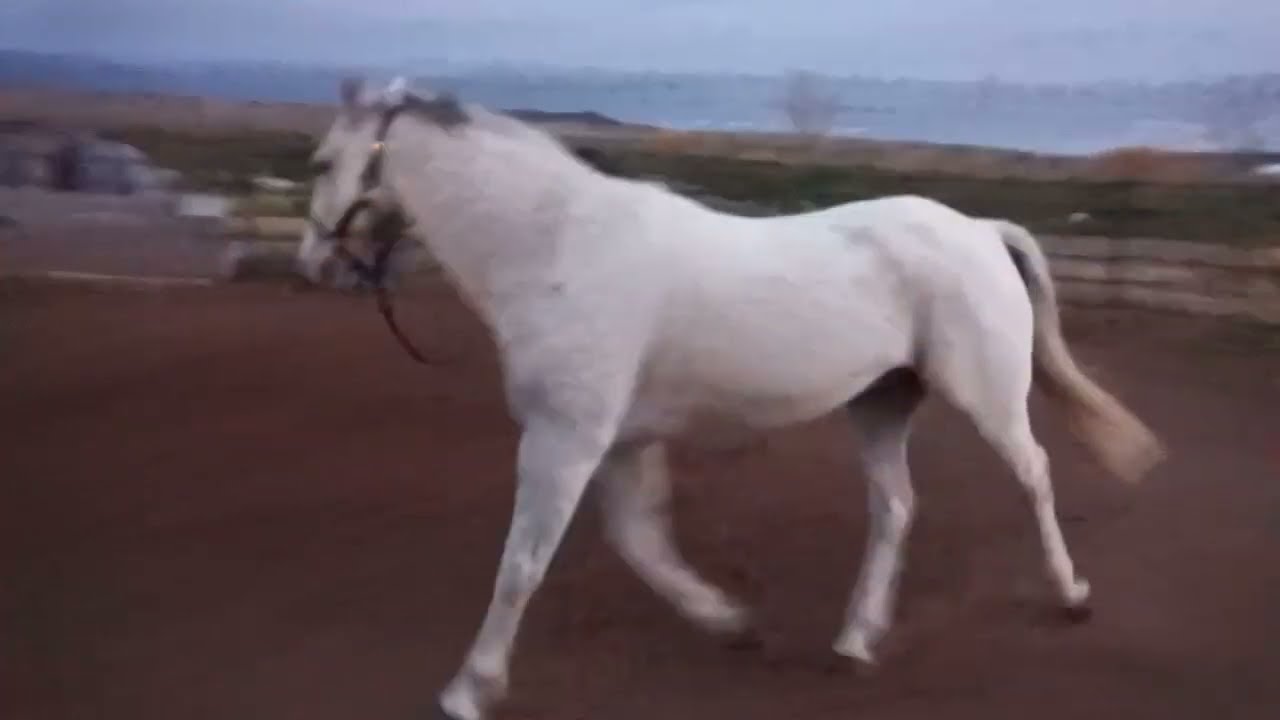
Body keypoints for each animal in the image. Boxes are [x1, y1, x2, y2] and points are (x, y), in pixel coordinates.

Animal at [296, 76, 1166, 720]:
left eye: (321, 161)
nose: (314, 265)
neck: (557, 248)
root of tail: (980, 229)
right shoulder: (619, 441)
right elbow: (641, 540)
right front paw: (728, 620)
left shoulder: (564, 438)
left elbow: (523, 564)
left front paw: (469, 690)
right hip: (880, 403)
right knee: (896, 507)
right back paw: (855, 640)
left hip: (984, 394)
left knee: (1035, 473)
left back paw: (1070, 596)